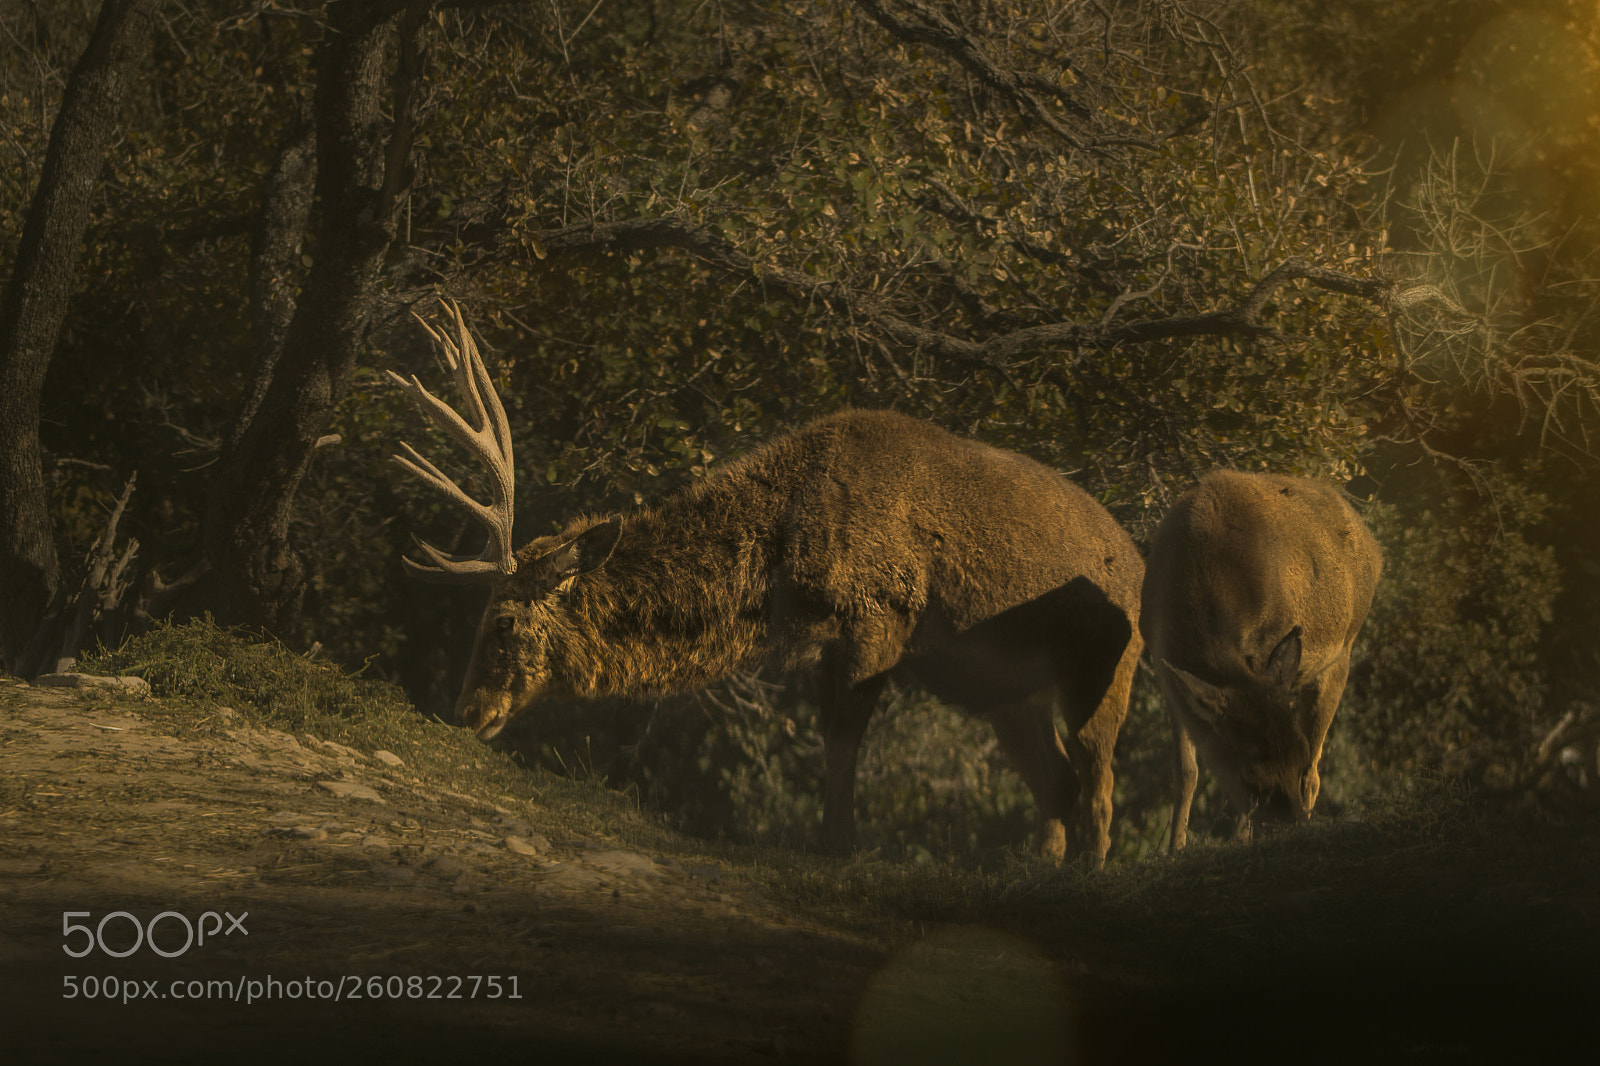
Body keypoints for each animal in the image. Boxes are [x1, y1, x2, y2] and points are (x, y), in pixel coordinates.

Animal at [387, 301, 1144, 862]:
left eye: (503, 622)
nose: (467, 711)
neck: (783, 562)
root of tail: (1138, 561)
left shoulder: (883, 614)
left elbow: (844, 744)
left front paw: (838, 848)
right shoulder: (828, 643)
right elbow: (830, 739)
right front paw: (828, 840)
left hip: (1109, 669)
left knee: (1099, 780)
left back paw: (1090, 873)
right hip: (1004, 693)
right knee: (1057, 783)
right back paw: (1041, 869)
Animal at [1140, 470, 1382, 851]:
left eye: (1295, 757)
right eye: (1249, 776)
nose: (1290, 824)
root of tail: (1375, 548)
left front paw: (1240, 841)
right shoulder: (1163, 664)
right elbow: (1185, 771)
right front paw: (1174, 849)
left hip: (1342, 651)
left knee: (1316, 770)